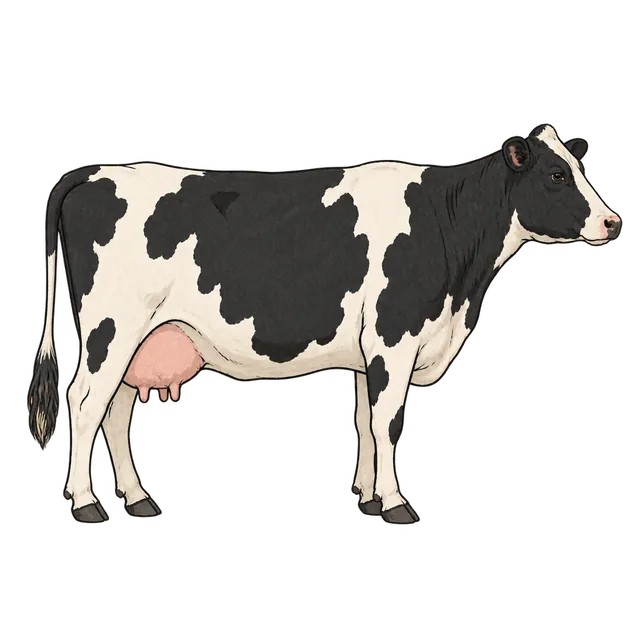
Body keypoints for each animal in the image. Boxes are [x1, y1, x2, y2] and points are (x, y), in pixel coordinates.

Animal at [26, 124, 622, 526]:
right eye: (555, 175)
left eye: (579, 169)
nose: (613, 222)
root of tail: (99, 170)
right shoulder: (393, 336)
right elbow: (389, 422)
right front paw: (397, 505)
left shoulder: (369, 352)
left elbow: (367, 418)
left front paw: (370, 498)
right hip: (112, 327)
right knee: (83, 402)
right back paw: (85, 505)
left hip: (143, 337)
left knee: (116, 409)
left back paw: (139, 499)